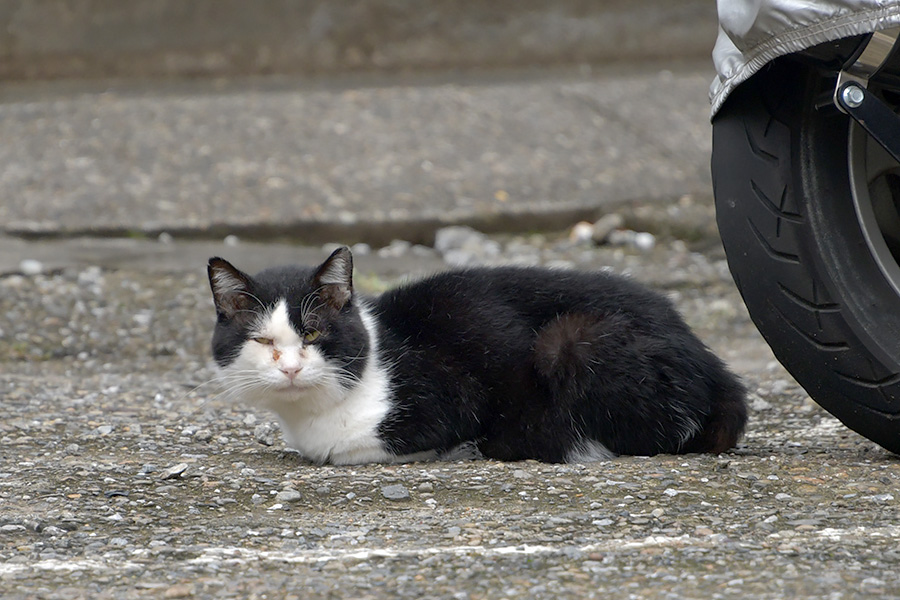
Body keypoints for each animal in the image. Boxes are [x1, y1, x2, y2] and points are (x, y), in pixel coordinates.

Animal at [207, 246, 748, 466]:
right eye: (262, 341)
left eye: (314, 332)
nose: (291, 367)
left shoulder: (447, 394)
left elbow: (357, 449)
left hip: (572, 342)